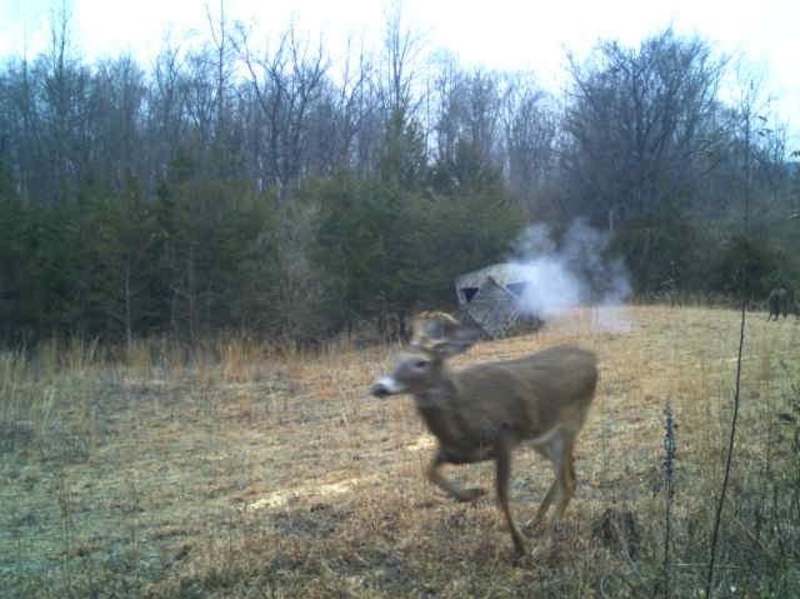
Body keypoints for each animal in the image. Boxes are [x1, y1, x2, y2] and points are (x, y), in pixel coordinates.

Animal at [372, 314, 596, 556]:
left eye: (420, 362)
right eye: (397, 359)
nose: (379, 387)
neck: (462, 421)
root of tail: (592, 359)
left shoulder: (503, 438)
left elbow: (501, 495)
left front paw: (520, 546)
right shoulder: (455, 451)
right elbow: (429, 471)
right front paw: (472, 493)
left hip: (569, 424)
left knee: (568, 481)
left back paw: (545, 543)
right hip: (541, 438)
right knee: (565, 472)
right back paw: (534, 521)